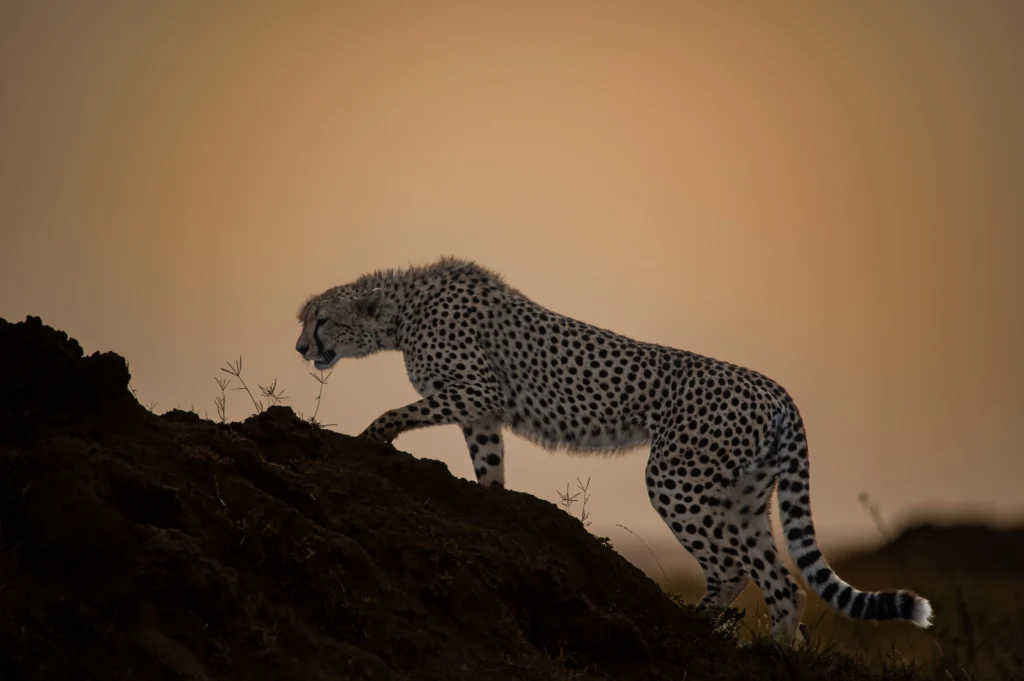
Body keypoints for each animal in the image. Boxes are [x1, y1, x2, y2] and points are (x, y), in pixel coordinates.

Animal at [294, 256, 933, 645]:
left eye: (320, 320)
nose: (300, 348)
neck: (403, 311)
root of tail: (772, 386)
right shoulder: (482, 415)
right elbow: (489, 469)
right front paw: (491, 503)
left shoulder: (478, 392)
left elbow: (397, 411)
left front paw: (371, 438)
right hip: (747, 496)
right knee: (782, 579)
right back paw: (777, 651)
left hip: (675, 477)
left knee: (731, 565)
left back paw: (695, 624)